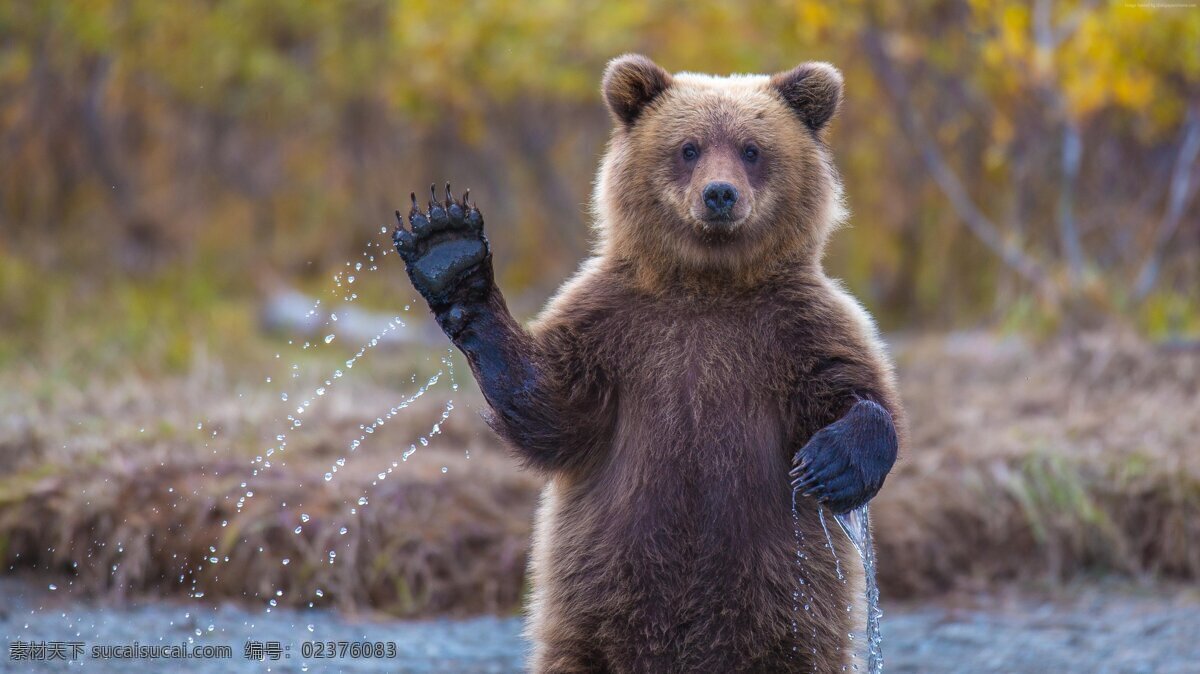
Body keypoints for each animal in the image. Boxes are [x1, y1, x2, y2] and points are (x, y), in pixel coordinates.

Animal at [392, 54, 905, 673]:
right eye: (688, 147)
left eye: (751, 148)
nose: (719, 194)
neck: (707, 283)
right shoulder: (615, 326)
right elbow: (552, 408)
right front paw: (448, 249)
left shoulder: (796, 326)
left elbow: (855, 388)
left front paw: (830, 462)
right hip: (591, 613)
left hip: (790, 619)